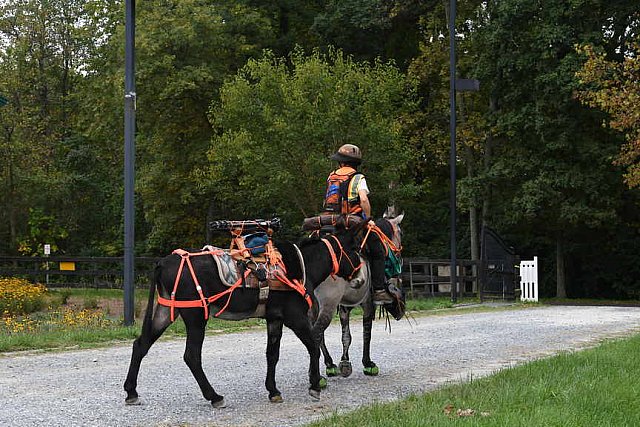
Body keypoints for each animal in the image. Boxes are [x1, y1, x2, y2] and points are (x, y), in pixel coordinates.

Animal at [125, 226, 364, 410]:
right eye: (354, 250)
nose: (361, 280)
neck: (299, 267)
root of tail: (164, 262)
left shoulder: (274, 319)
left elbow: (272, 355)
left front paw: (273, 391)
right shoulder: (295, 318)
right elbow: (313, 347)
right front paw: (315, 385)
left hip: (165, 312)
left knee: (141, 345)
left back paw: (131, 392)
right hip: (195, 316)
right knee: (191, 356)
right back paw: (215, 397)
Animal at [310, 211, 404, 378]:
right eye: (401, 233)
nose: (400, 256)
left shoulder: (343, 307)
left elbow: (346, 336)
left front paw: (344, 362)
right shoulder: (367, 304)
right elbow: (367, 333)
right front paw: (368, 364)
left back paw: (330, 364)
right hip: (327, 304)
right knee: (317, 332)